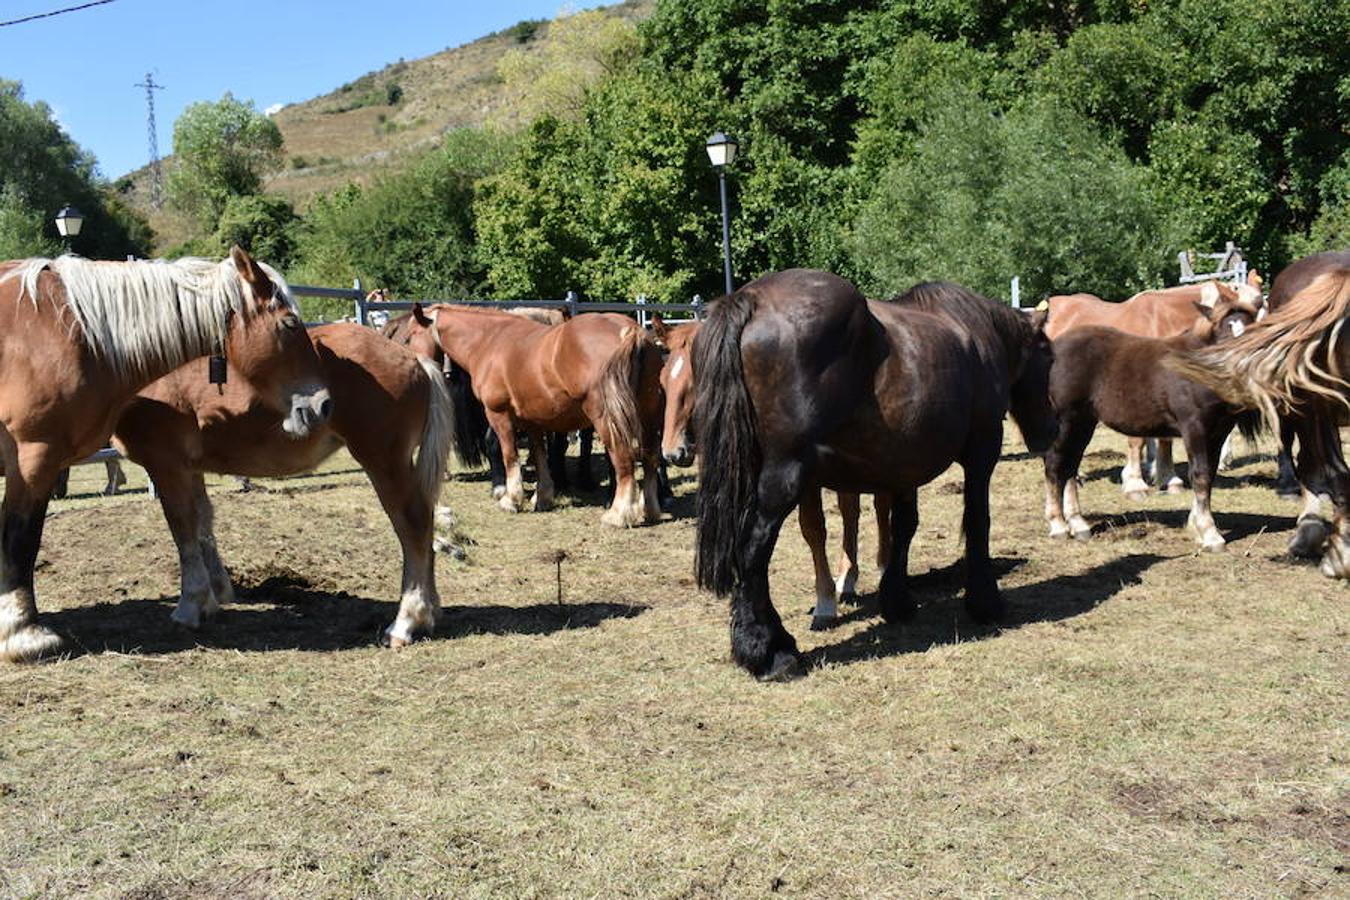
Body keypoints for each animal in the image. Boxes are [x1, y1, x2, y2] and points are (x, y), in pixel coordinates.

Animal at [0, 246, 332, 661]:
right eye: (289, 324)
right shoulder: (34, 458)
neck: (61, 331)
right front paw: (23, 633)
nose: (322, 404)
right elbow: (21, 538)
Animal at [112, 323, 459, 647]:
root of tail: (413, 358)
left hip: (384, 462)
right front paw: (214, 596)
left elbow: (182, 530)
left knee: (413, 525)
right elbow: (202, 525)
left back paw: (406, 621)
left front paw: (189, 606)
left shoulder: (166, 466)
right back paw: (430, 612)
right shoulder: (190, 469)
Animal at [426, 304, 664, 523]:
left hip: (608, 420)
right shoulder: (533, 420)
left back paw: (618, 514)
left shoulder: (499, 415)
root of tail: (630, 331)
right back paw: (650, 509)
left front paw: (511, 499)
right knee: (650, 458)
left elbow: (509, 454)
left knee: (623, 460)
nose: (444, 374)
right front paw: (543, 497)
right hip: (648, 416)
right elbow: (540, 455)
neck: (490, 341)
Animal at [691, 271, 1058, 680]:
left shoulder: (906, 465)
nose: (1051, 429)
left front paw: (897, 602)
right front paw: (985, 603)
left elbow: (903, 527)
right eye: (1050, 355)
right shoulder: (982, 450)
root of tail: (751, 299)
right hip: (785, 476)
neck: (975, 332)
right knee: (752, 550)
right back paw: (770, 652)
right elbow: (978, 521)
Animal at [1042, 294, 1263, 550]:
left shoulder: (1218, 433)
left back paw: (1078, 524)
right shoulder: (1194, 428)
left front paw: (1196, 525)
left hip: (1083, 423)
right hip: (1066, 421)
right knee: (1055, 464)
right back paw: (1058, 525)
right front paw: (1210, 534)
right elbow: (1200, 475)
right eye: (1225, 332)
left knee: (1070, 465)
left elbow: (1209, 475)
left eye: (1255, 330)